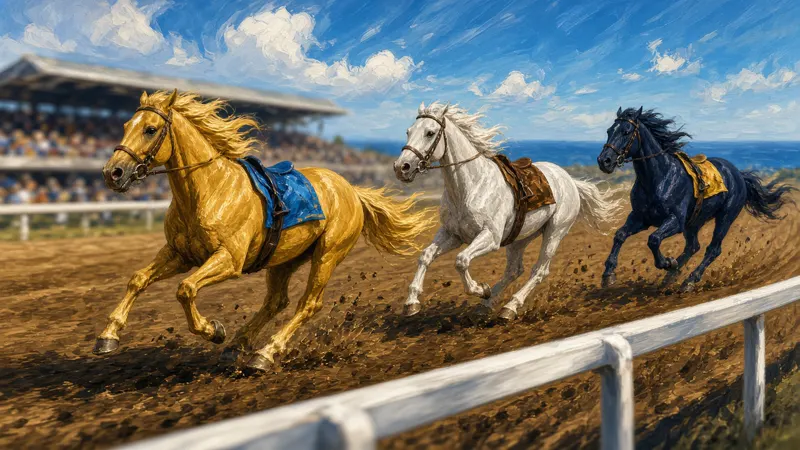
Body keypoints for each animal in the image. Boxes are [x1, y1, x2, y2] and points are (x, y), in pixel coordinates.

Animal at [94, 89, 435, 373]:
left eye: (150, 129)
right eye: (126, 125)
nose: (113, 173)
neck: (208, 190)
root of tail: (351, 189)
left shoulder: (229, 260)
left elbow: (185, 289)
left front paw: (213, 330)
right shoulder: (178, 254)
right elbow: (138, 279)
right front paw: (107, 336)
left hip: (327, 255)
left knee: (307, 304)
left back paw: (265, 354)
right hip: (284, 259)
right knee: (276, 302)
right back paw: (238, 346)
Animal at [393, 102, 623, 320]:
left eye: (430, 132)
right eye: (408, 131)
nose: (401, 167)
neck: (471, 186)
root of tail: (570, 181)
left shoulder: (490, 237)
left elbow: (461, 261)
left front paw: (480, 289)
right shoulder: (452, 234)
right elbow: (425, 256)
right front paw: (411, 303)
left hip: (555, 233)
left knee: (539, 270)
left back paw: (509, 307)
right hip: (520, 238)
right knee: (514, 270)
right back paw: (488, 305)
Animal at [597, 107, 795, 291]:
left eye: (626, 131)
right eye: (609, 130)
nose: (604, 161)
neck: (660, 178)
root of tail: (739, 175)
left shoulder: (675, 221)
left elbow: (653, 239)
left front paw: (667, 262)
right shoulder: (640, 218)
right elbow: (620, 235)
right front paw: (608, 274)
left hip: (725, 218)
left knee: (713, 249)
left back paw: (689, 281)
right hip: (694, 221)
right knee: (693, 246)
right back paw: (670, 277)